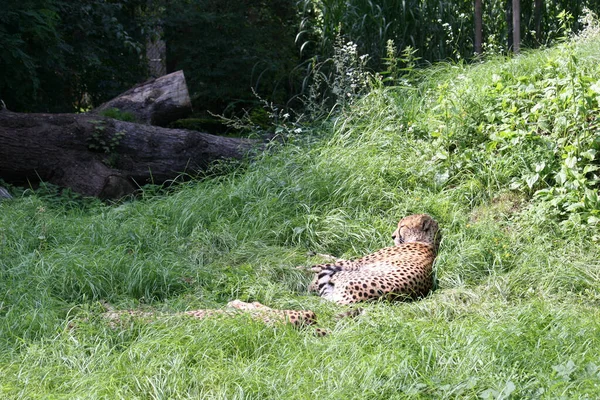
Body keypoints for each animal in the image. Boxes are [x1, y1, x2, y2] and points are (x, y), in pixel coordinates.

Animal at [310, 214, 440, 304]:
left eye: (402, 226)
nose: (393, 236)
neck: (427, 242)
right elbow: (335, 257)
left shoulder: (357, 263)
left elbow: (328, 262)